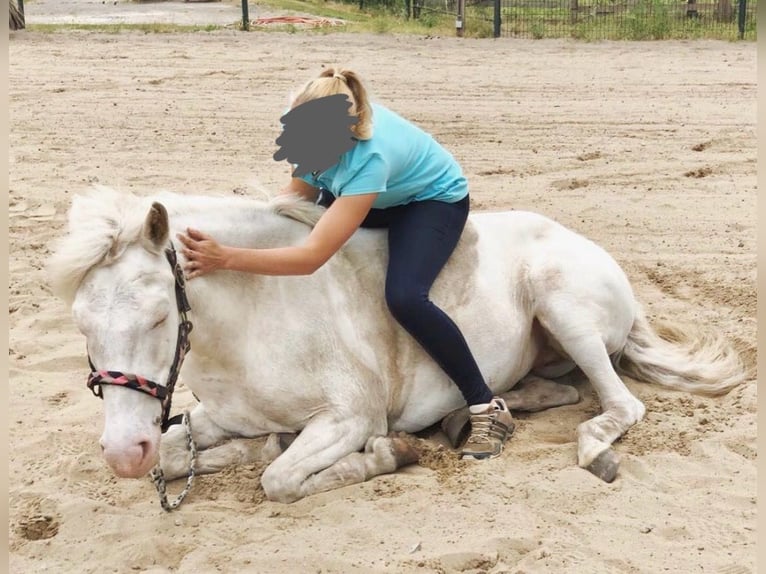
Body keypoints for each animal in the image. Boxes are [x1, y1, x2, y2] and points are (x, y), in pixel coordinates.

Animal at [48, 188, 752, 504]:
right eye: (80, 324)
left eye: (158, 318)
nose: (122, 452)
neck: (258, 315)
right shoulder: (219, 417)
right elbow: (177, 457)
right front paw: (253, 446)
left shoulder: (349, 418)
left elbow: (280, 479)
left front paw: (389, 455)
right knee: (552, 391)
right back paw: (470, 417)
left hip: (565, 307)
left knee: (615, 405)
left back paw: (587, 450)